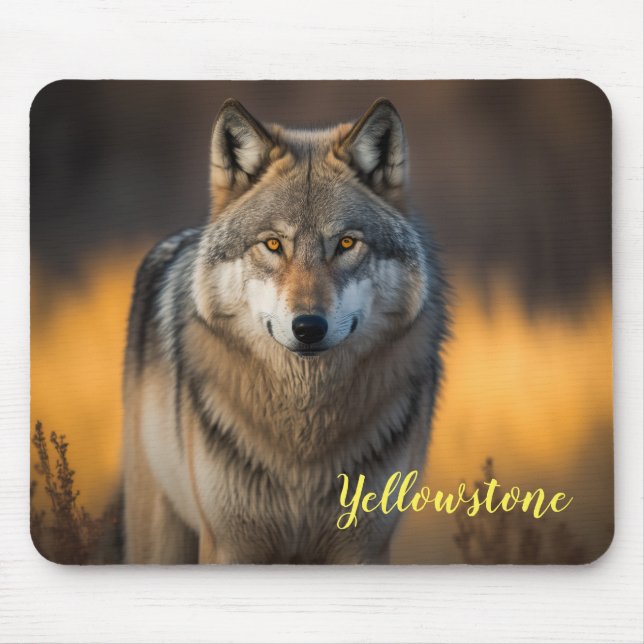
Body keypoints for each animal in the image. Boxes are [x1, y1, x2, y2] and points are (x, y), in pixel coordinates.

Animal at [122, 97, 448, 564]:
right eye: (273, 244)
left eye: (346, 243)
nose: (309, 327)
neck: (303, 439)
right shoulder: (229, 545)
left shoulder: (365, 546)